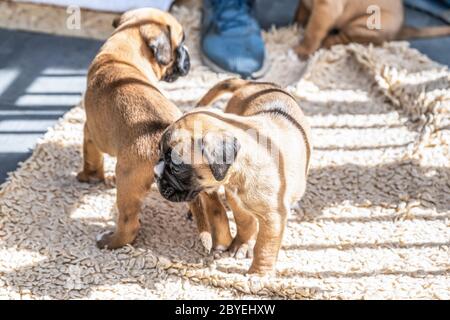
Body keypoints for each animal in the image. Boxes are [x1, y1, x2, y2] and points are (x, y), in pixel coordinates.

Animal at [77, 6, 190, 248]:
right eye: (180, 45)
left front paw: (88, 176)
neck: (121, 54)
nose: (188, 56)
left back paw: (110, 241)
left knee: (129, 224)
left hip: (127, 181)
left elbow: (92, 159)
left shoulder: (90, 132)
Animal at [153, 79, 312, 274]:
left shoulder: (273, 217)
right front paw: (242, 245)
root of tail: (250, 82)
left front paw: (259, 273)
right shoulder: (237, 202)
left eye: (176, 168)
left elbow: (265, 246)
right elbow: (245, 223)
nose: (155, 174)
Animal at [294, 0, 450, 58]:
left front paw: (302, 49)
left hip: (366, 24)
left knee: (349, 39)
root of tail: (401, 29)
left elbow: (313, 31)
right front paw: (295, 27)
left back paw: (328, 41)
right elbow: (301, 13)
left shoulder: (326, 9)